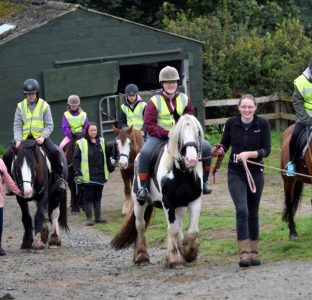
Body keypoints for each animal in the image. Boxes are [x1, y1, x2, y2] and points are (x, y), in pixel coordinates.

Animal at [111, 115, 204, 268]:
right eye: (179, 135)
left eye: (198, 133)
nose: (191, 160)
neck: (181, 174)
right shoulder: (168, 203)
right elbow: (172, 230)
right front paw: (174, 258)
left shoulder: (194, 200)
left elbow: (192, 231)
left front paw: (188, 252)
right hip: (139, 202)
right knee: (140, 226)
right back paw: (141, 256)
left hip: (180, 206)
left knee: (178, 226)